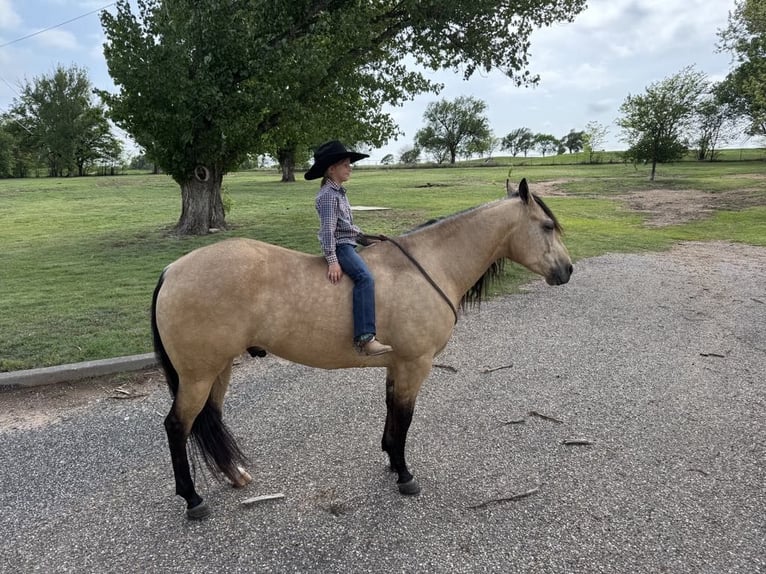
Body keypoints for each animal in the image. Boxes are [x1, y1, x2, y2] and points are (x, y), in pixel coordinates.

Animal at [151, 178, 573, 519]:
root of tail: (172, 270)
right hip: (198, 376)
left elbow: (391, 413)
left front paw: (391, 461)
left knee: (209, 419)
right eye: (548, 226)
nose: (567, 270)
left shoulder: (397, 365)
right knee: (177, 426)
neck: (428, 266)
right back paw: (193, 500)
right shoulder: (414, 365)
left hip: (217, 370)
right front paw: (405, 475)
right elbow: (404, 417)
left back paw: (235, 475)